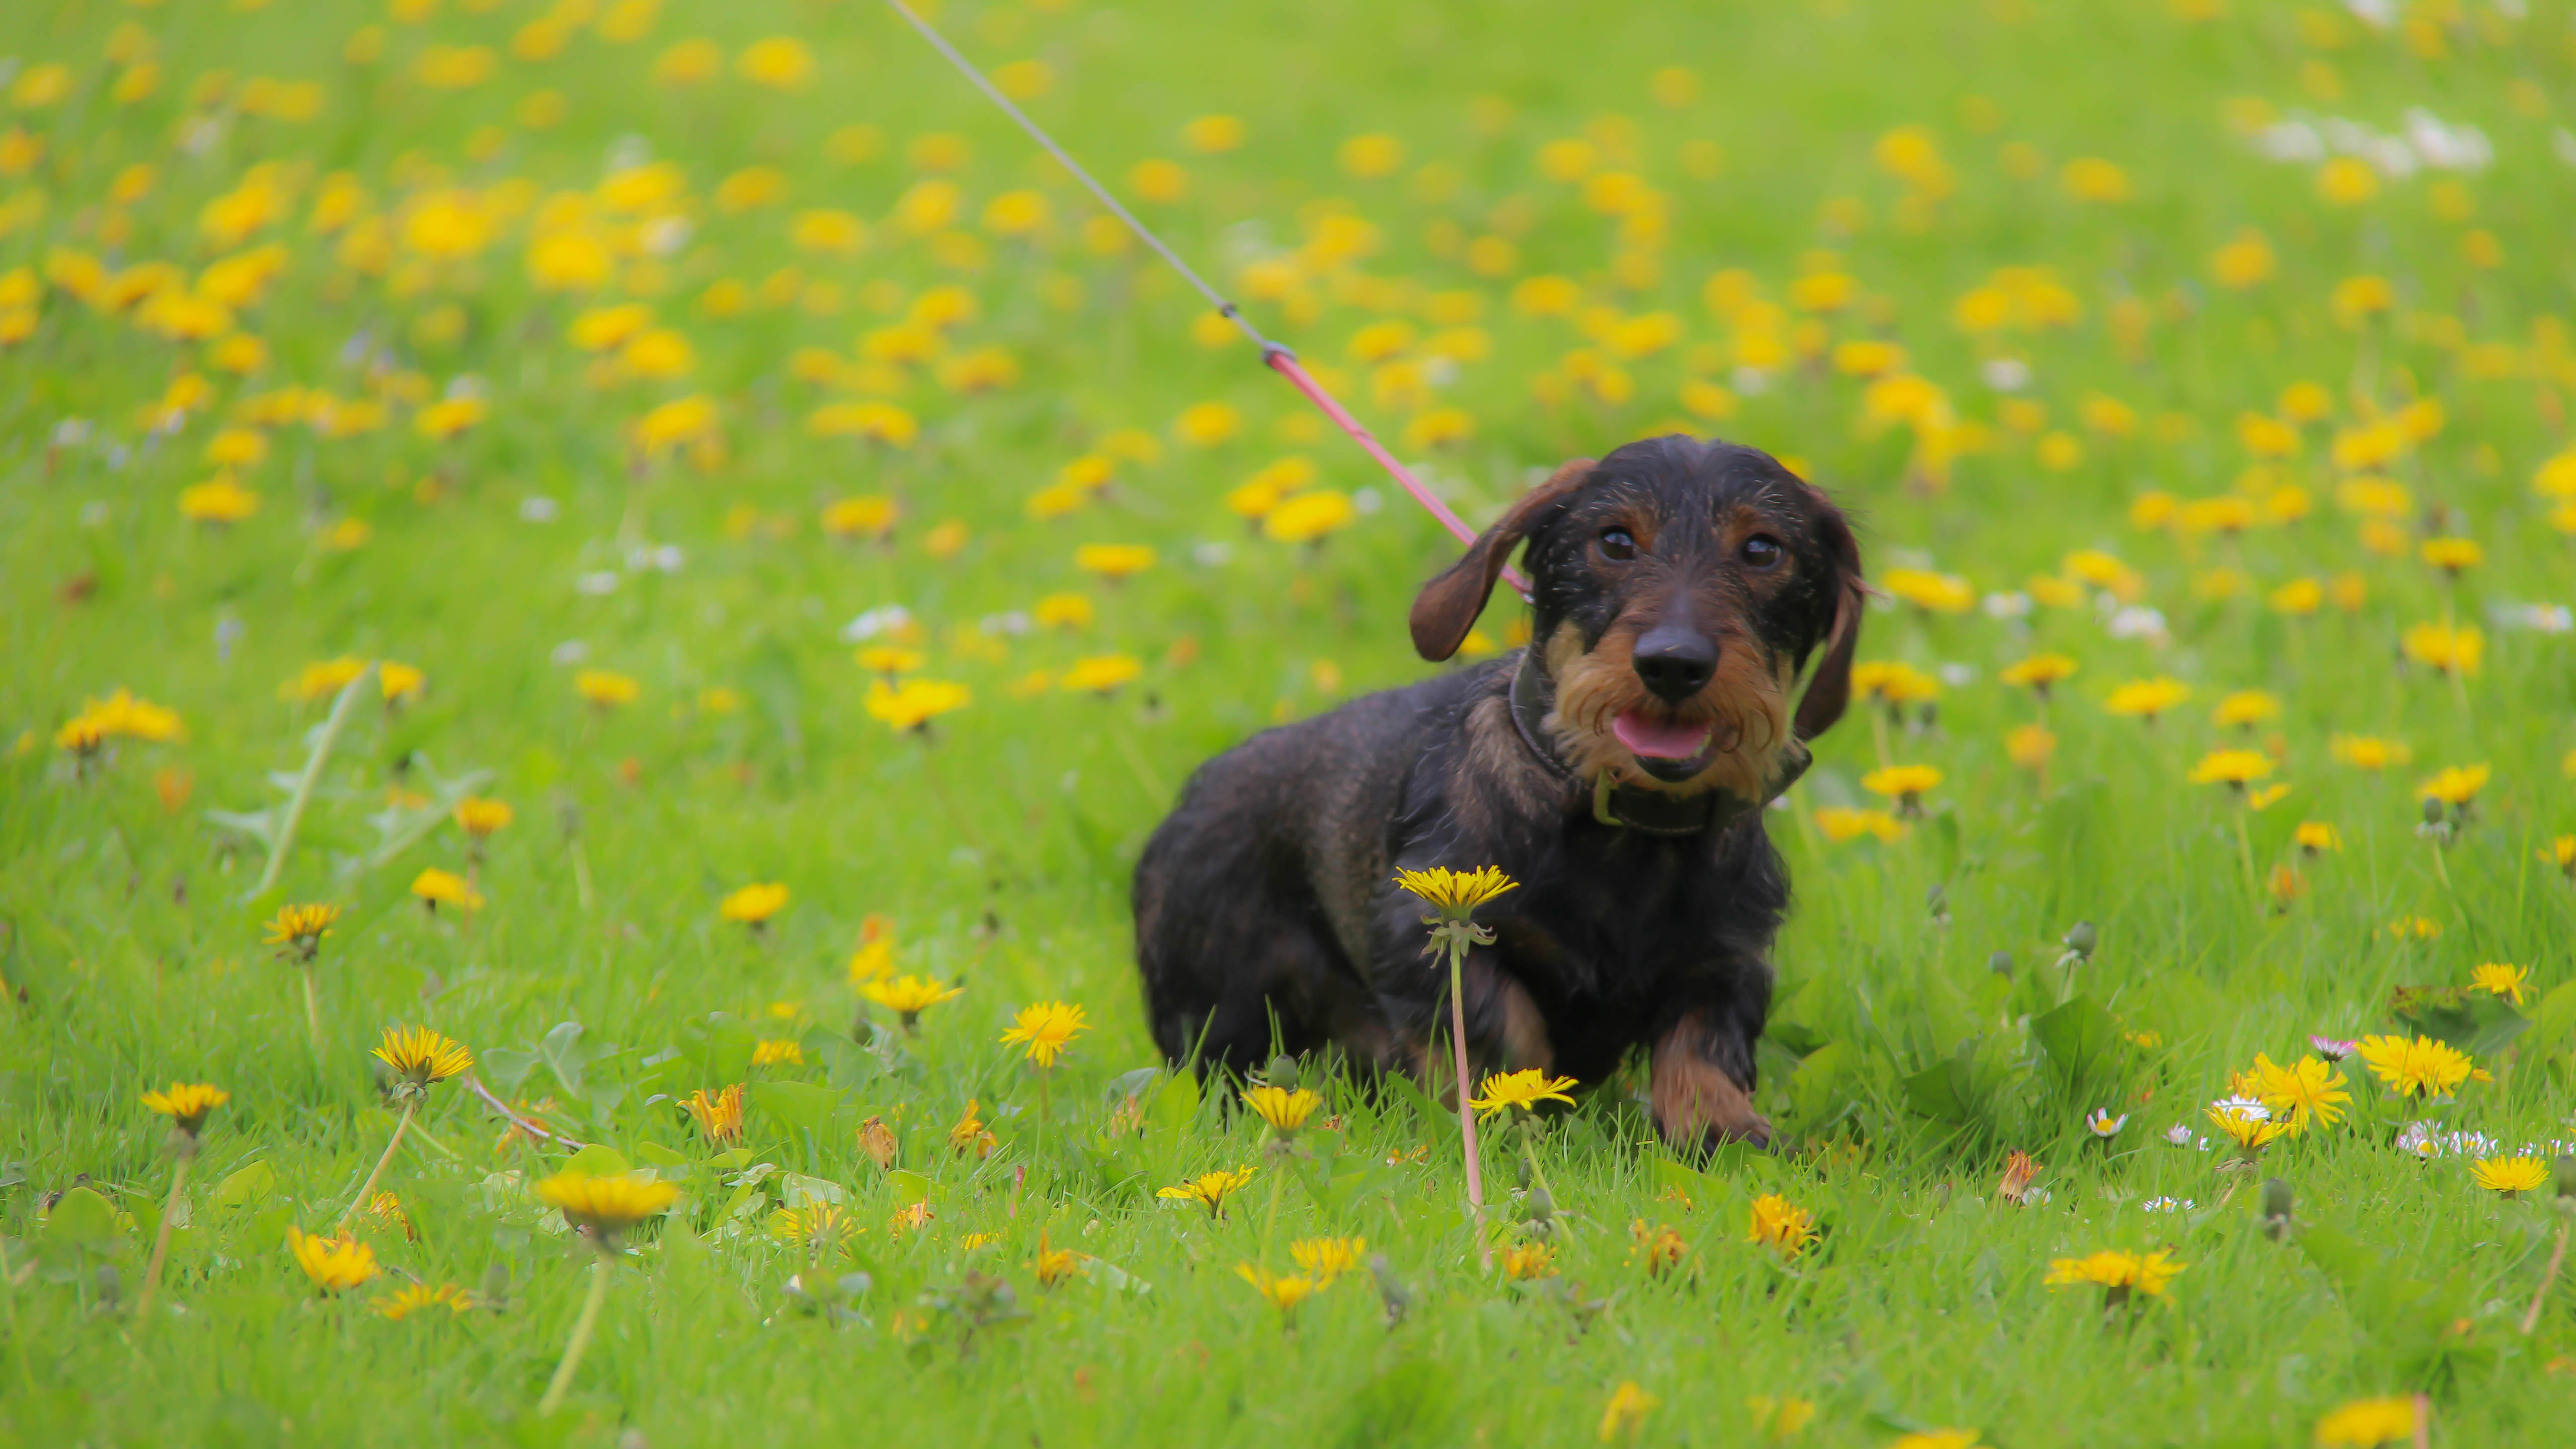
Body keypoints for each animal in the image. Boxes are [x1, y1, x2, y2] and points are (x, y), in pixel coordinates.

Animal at [1133, 433, 1854, 1144]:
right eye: (1615, 541)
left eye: (1763, 549)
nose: (1673, 664)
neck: (1622, 827)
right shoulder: (1428, 931)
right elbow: (1500, 1029)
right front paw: (1503, 1117)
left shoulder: (1726, 959)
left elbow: (1703, 1049)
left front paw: (1727, 1131)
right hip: (1221, 1013)